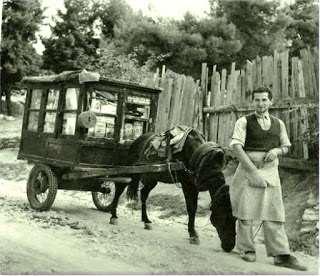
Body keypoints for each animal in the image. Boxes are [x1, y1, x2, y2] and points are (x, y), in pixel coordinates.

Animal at [105, 127, 235, 252]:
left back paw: (146, 221)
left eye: (235, 218)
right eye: (224, 216)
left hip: (152, 178)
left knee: (143, 194)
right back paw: (113, 216)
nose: (229, 246)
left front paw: (192, 233)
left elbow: (193, 208)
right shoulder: (187, 184)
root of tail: (135, 141)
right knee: (119, 189)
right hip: (129, 171)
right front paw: (193, 234)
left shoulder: (194, 184)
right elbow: (191, 208)